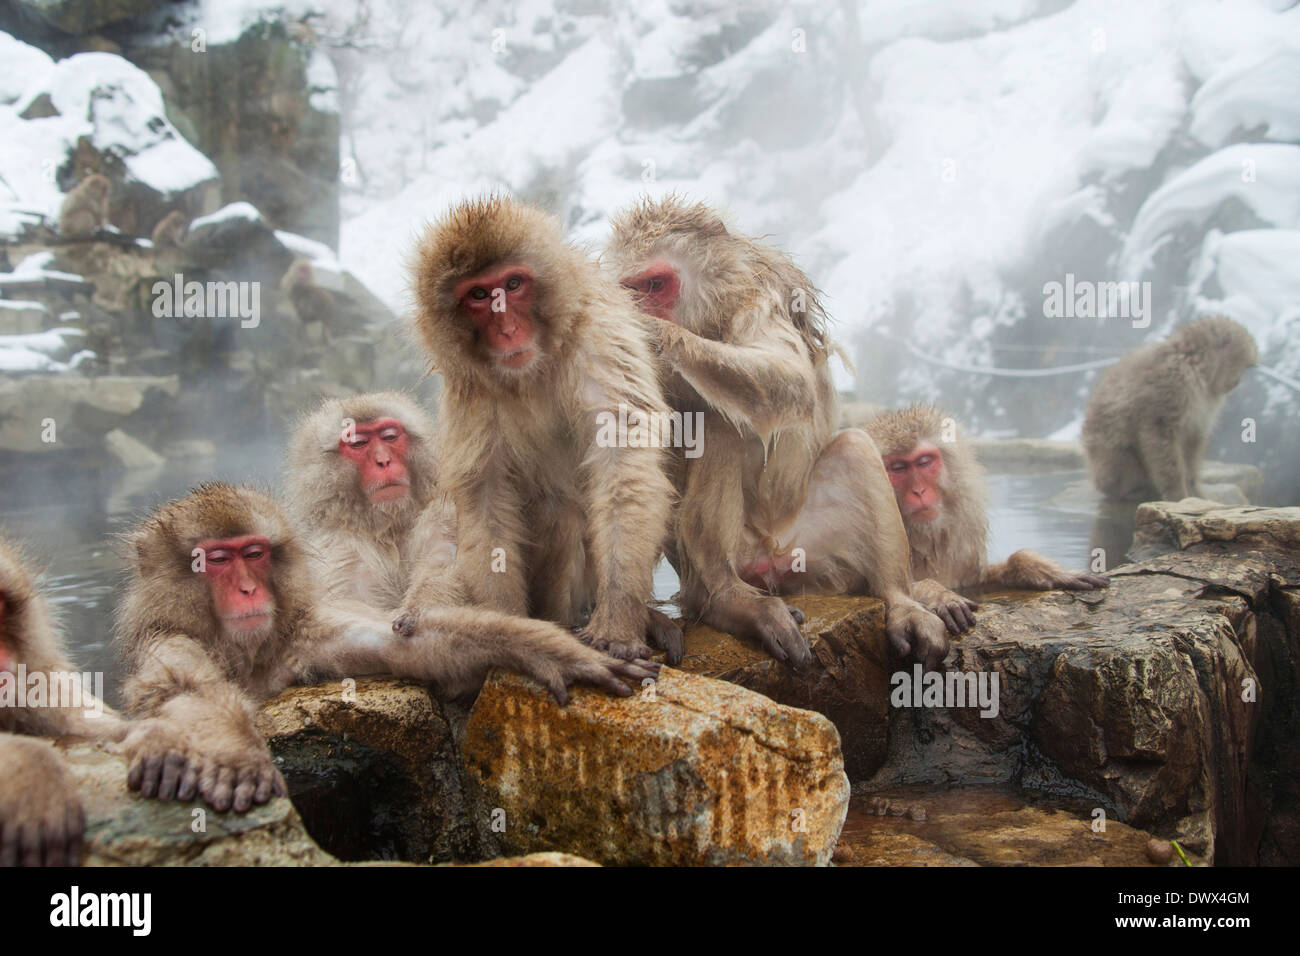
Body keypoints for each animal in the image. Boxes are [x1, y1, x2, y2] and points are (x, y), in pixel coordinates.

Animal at [113, 486, 660, 816]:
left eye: (253, 554)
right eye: (218, 560)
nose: (248, 590)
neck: (250, 653)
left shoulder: (307, 632)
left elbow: (408, 642)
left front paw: (557, 653)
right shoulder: (170, 641)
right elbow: (186, 691)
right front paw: (230, 754)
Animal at [287, 390, 460, 608]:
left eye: (389, 437)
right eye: (359, 443)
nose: (384, 461)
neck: (389, 530)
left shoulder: (439, 515)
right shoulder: (340, 551)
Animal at [603, 195, 951, 671]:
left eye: (655, 285)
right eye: (631, 288)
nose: (640, 309)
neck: (709, 317)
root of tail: (769, 561)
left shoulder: (759, 300)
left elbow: (791, 380)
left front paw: (657, 335)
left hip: (814, 553)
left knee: (837, 444)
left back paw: (900, 601)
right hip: (740, 557)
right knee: (713, 425)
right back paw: (725, 598)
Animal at [868, 403, 1112, 634]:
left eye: (924, 462)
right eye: (898, 468)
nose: (919, 491)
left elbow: (979, 580)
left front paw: (1043, 569)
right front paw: (937, 594)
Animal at [1076, 317, 1258, 504]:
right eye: (1243, 366)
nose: (1237, 381)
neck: (1194, 366)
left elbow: (1194, 438)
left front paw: (1194, 489)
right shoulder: (1172, 385)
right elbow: (1159, 435)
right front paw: (1177, 494)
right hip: (1108, 463)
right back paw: (1132, 491)